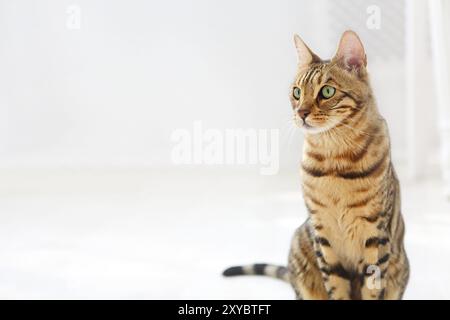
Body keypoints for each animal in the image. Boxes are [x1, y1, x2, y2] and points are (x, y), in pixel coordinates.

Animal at [223, 30, 410, 300]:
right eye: (297, 92)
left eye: (327, 91)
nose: (301, 112)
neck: (334, 159)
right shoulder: (323, 233)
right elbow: (335, 285)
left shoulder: (376, 234)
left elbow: (372, 288)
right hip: (299, 244)